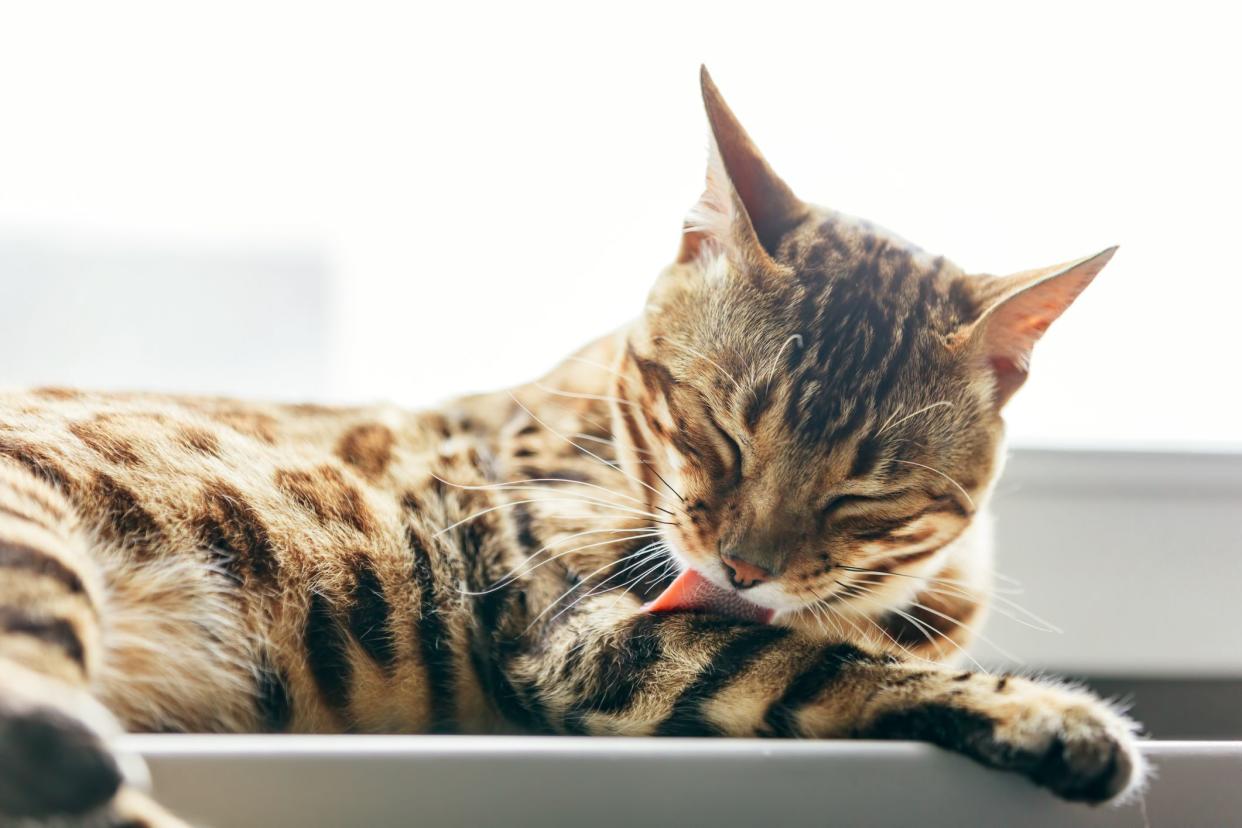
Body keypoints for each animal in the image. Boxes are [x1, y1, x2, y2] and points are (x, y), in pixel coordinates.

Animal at [0, 67, 1142, 824]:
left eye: (865, 494)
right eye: (718, 431)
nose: (745, 565)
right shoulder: (585, 630)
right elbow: (811, 659)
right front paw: (1053, 715)